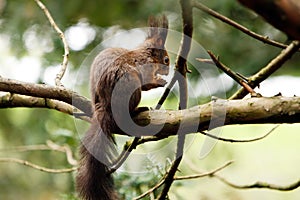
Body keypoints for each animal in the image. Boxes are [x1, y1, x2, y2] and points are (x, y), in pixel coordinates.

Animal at [75, 15, 169, 200]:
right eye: (166, 60)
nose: (168, 71)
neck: (144, 53)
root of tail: (103, 107)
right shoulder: (145, 66)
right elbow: (147, 82)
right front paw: (159, 82)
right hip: (130, 84)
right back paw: (138, 110)